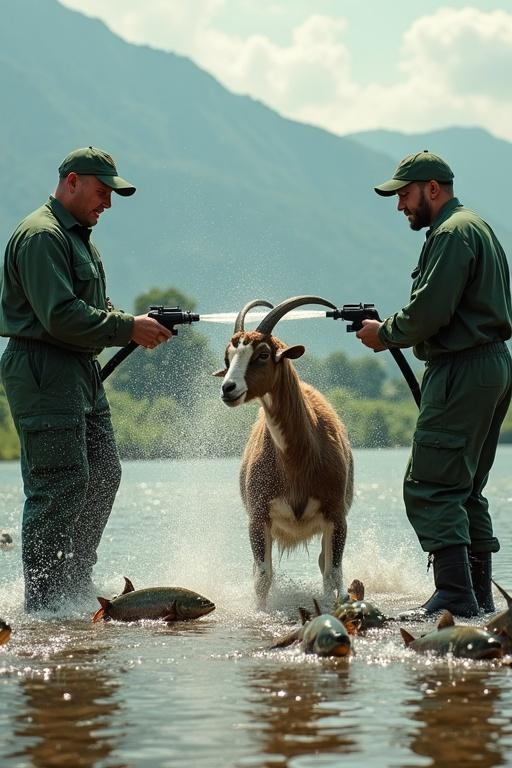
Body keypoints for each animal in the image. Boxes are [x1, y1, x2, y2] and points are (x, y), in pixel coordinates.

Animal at [215, 296, 352, 608]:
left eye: (263, 354)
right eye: (228, 358)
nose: (228, 388)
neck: (296, 459)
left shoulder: (336, 515)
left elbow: (332, 573)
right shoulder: (258, 517)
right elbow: (263, 577)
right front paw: (260, 612)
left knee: (324, 564)